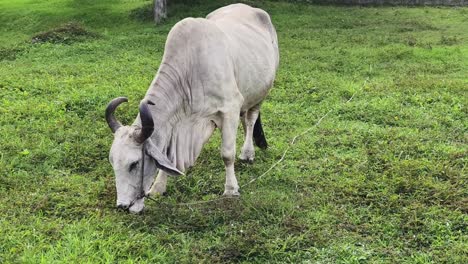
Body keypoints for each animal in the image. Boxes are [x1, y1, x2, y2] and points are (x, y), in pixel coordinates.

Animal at [105, 3, 278, 212]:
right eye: (112, 162)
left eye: (134, 163)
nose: (122, 205)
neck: (189, 71)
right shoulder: (178, 124)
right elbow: (169, 158)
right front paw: (158, 188)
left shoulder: (230, 108)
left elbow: (227, 154)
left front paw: (231, 190)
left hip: (261, 93)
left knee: (251, 120)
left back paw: (247, 153)